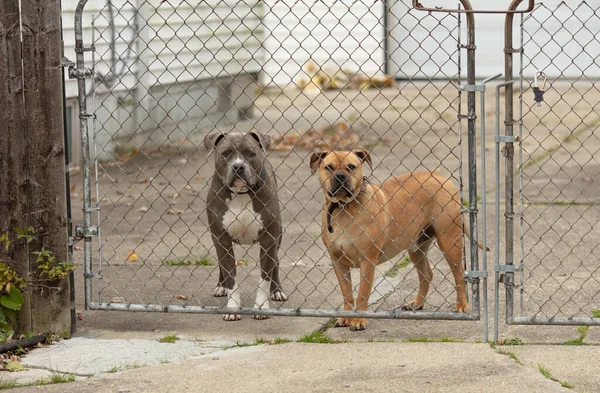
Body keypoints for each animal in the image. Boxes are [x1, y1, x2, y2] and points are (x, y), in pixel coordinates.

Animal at [204, 130, 286, 320]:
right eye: (225, 153)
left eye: (250, 153)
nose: (238, 166)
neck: (241, 194)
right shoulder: (222, 240)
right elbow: (231, 277)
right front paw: (233, 308)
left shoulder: (269, 240)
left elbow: (264, 278)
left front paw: (261, 308)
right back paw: (220, 286)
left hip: (278, 237)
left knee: (276, 263)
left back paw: (277, 290)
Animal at [312, 149, 486, 330]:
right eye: (328, 167)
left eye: (351, 167)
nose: (340, 176)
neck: (343, 208)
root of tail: (442, 179)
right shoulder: (338, 263)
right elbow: (347, 293)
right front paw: (346, 317)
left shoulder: (367, 261)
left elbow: (362, 293)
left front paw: (359, 320)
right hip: (417, 249)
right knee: (426, 274)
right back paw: (417, 303)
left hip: (449, 242)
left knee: (459, 275)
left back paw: (462, 305)